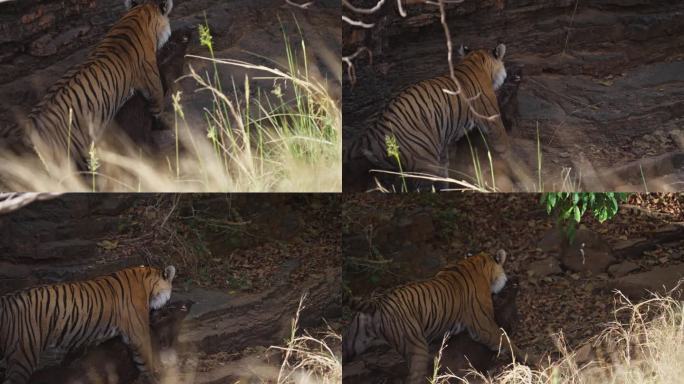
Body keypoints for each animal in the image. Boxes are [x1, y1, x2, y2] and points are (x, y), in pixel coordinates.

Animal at [0, 264, 176, 384]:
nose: (166, 306)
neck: (147, 284)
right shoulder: (138, 333)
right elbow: (146, 360)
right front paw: (155, 377)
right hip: (23, 356)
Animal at [342, 250, 528, 382]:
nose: (515, 279)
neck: (476, 263)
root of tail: (376, 304)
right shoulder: (484, 326)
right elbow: (505, 339)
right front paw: (528, 358)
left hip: (353, 341)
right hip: (417, 348)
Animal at [344, 43, 510, 190]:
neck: (476, 60)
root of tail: (373, 131)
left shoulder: (441, 143)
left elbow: (444, 171)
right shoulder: (492, 118)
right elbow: (504, 144)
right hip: (424, 161)